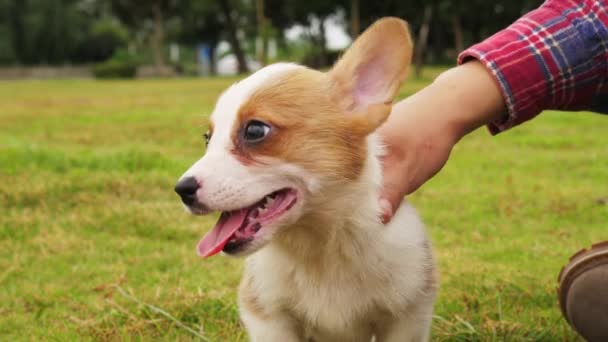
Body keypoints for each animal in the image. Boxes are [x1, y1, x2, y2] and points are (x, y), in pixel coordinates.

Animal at [176, 18, 436, 342]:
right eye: (207, 138)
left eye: (255, 131)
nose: (181, 189)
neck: (318, 245)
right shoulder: (268, 316)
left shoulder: (408, 315)